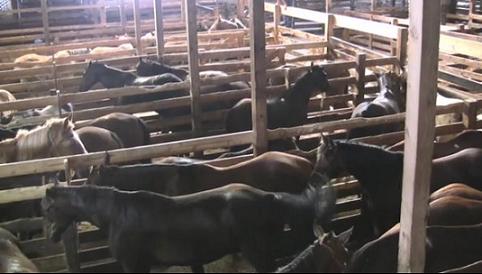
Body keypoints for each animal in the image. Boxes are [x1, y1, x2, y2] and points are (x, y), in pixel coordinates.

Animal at [42, 180, 336, 272]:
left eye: (49, 208)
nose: (52, 237)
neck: (117, 214)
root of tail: (268, 197)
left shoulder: (134, 265)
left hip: (257, 252)